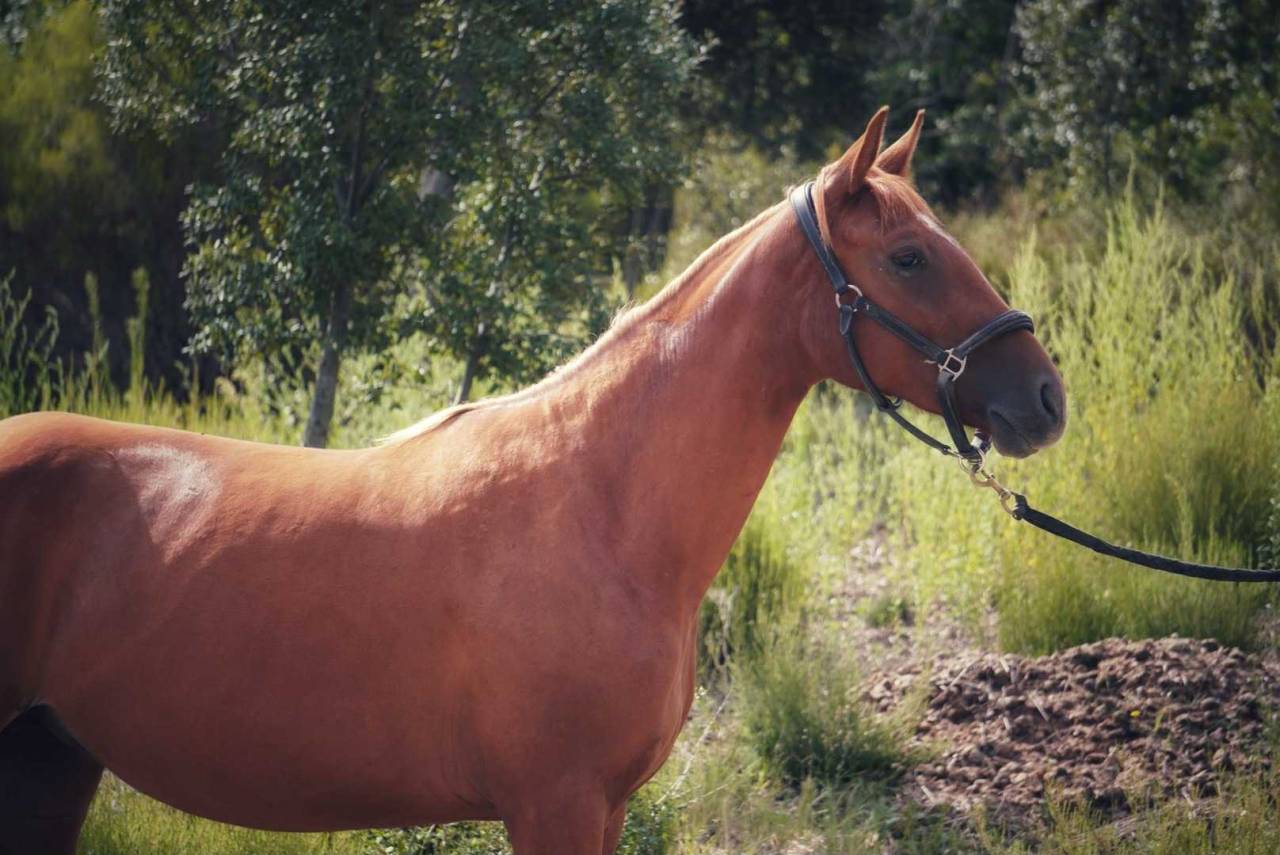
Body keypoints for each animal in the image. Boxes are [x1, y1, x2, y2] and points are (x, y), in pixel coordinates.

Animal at [0, 107, 1065, 854]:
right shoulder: (555, 802)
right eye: (909, 256)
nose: (1046, 398)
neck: (602, 510)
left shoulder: (603, 805)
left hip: (51, 762)